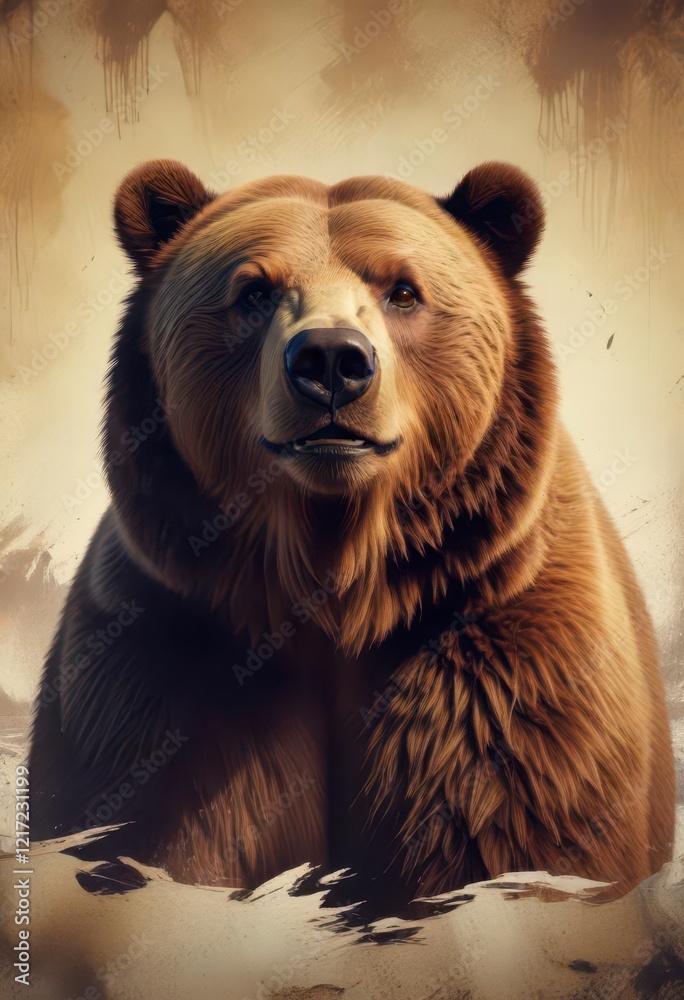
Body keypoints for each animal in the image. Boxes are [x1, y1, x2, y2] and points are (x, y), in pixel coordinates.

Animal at [29, 159, 675, 910]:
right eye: (253, 291)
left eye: (402, 290)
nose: (331, 360)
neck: (338, 583)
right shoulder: (168, 658)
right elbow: (155, 827)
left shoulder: (500, 669)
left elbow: (511, 836)